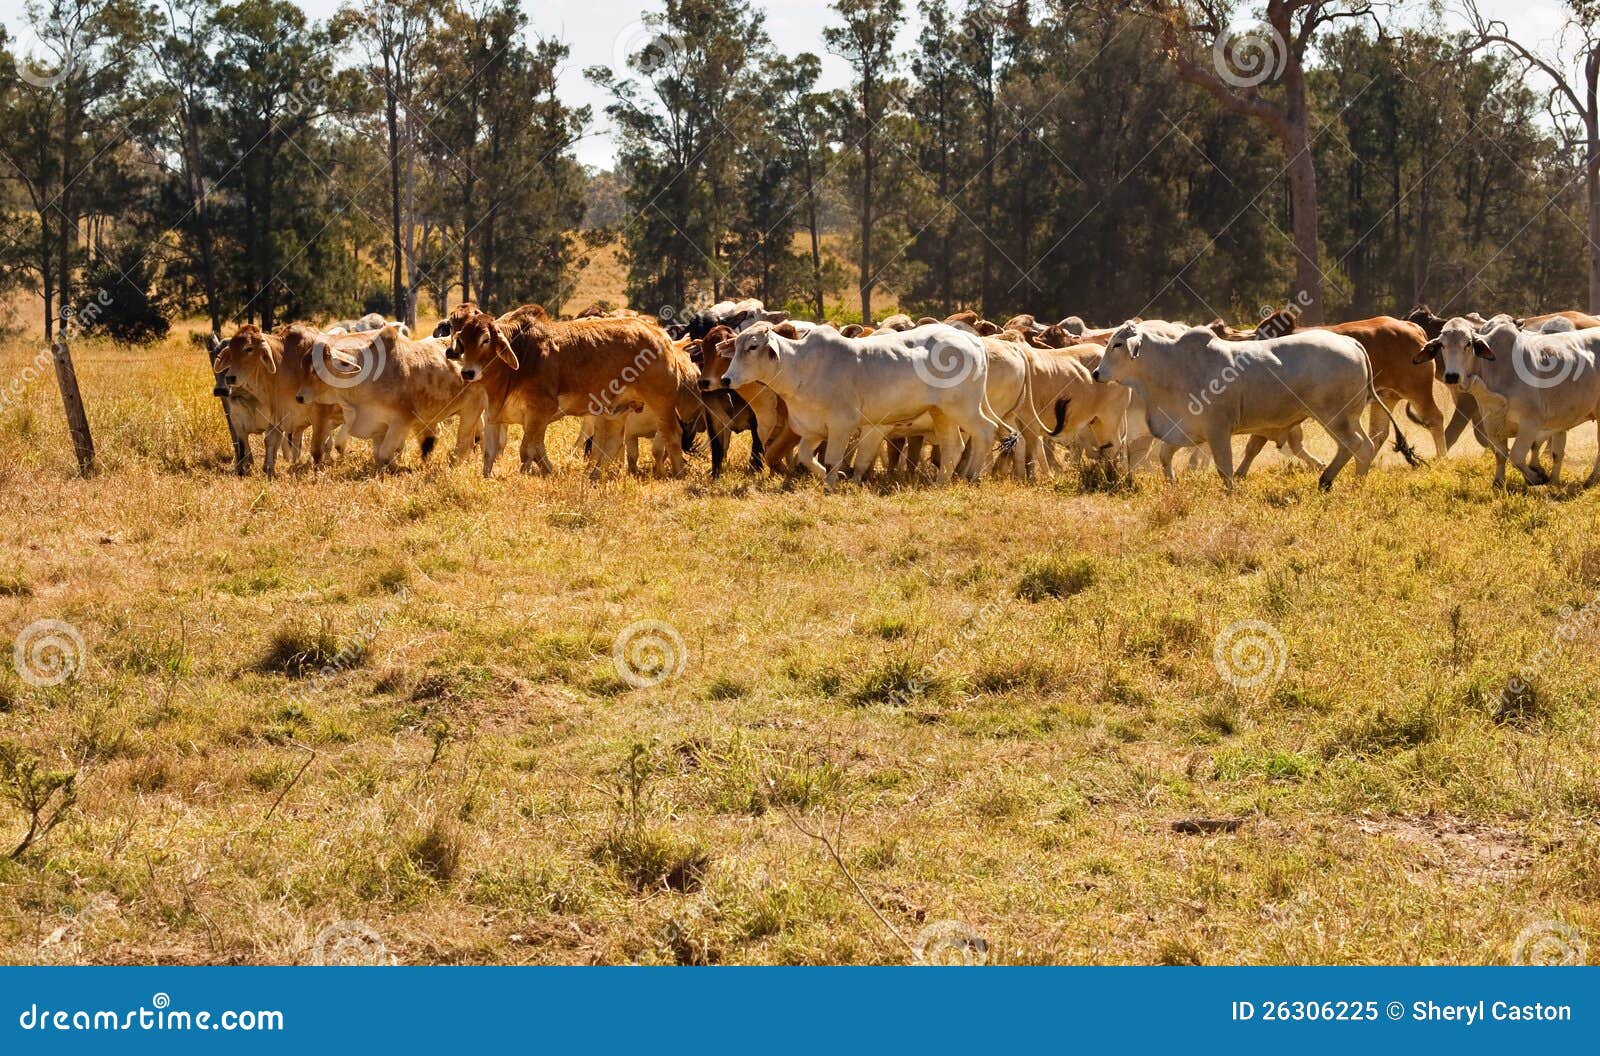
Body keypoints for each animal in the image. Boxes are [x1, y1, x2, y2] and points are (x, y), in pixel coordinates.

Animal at [444, 299, 694, 476]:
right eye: (462, 340)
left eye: (486, 339)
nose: (468, 373)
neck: (522, 353)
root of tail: (661, 336)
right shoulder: (495, 416)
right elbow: (493, 453)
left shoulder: (539, 411)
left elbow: (527, 451)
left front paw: (528, 474)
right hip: (617, 410)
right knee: (613, 443)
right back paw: (594, 475)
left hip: (662, 404)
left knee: (673, 435)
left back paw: (678, 474)